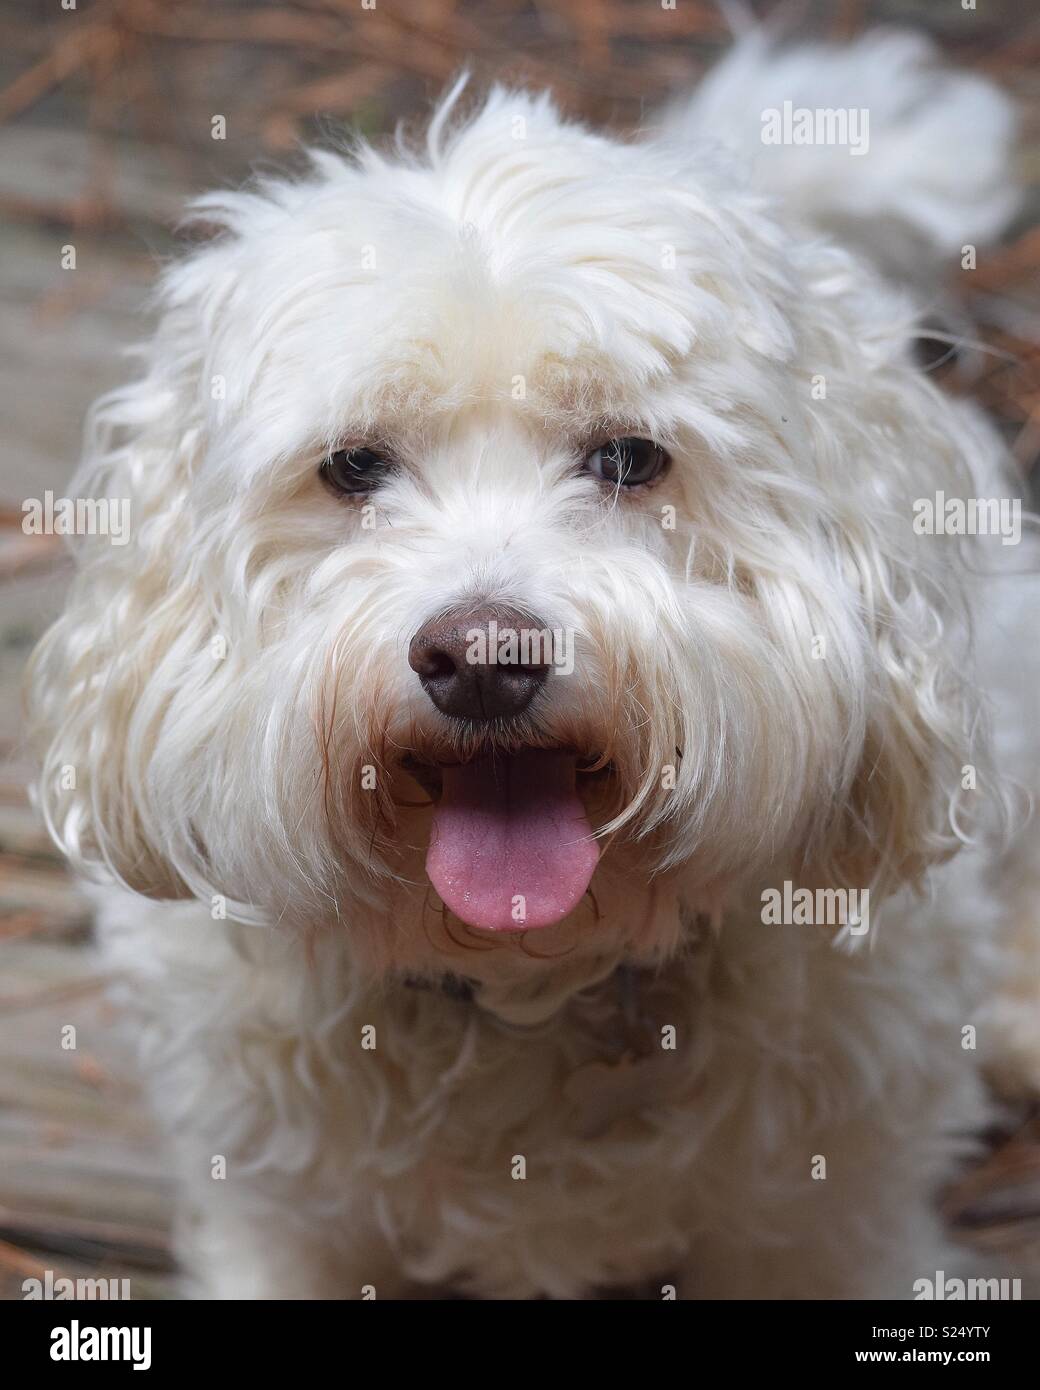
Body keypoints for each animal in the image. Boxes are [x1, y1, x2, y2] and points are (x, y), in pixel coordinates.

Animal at [28, 27, 1034, 1295]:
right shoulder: (284, 1217)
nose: (481, 657)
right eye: (352, 466)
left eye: (628, 457)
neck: (525, 979)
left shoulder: (823, 1223)